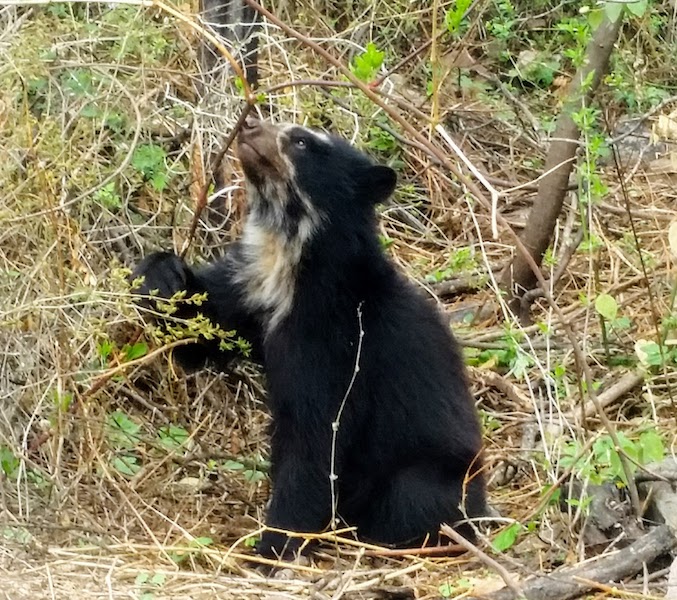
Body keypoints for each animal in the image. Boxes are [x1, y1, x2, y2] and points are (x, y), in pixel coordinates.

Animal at [132, 117, 486, 556]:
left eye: (302, 142)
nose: (249, 126)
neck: (290, 256)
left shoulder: (339, 342)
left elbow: (317, 440)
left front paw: (272, 547)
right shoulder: (247, 290)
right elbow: (206, 331)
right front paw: (160, 275)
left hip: (432, 476)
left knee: (412, 499)